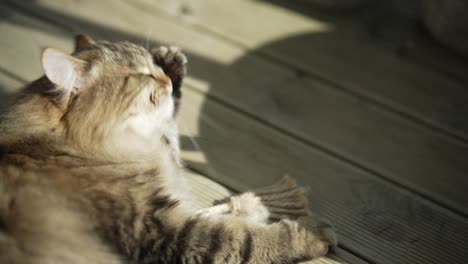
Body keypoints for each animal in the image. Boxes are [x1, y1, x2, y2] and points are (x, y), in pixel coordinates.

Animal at [0, 35, 336, 264]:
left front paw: (172, 63)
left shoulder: (166, 178)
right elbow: (247, 239)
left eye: (153, 67)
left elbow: (170, 132)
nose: (164, 77)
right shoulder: (160, 231)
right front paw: (312, 232)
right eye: (142, 75)